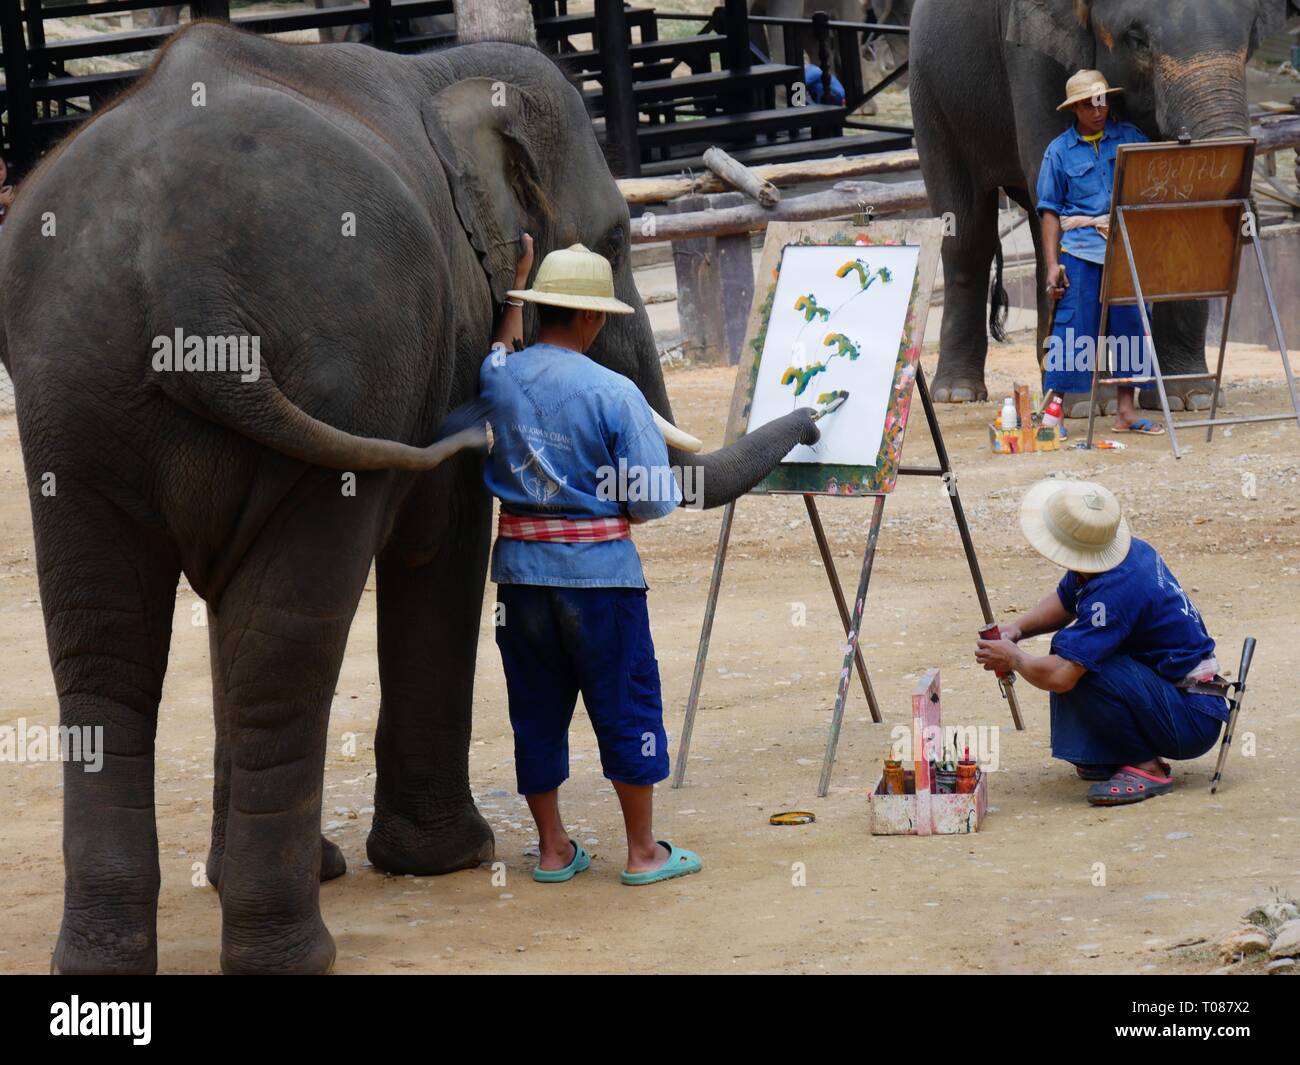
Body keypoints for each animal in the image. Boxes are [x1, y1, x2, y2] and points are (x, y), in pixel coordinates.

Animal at [0, 24, 818, 974]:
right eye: (615, 239)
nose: (812, 416)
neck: (443, 70)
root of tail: (179, 276)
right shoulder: (452, 340)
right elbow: (445, 543)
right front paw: (447, 859)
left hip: (75, 396)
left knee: (107, 649)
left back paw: (103, 957)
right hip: (337, 369)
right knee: (286, 643)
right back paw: (292, 950)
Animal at [910, 0, 1297, 410]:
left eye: (1248, 38)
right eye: (1137, 40)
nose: (1248, 218)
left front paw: (1192, 399)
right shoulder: (1031, 54)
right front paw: (1089, 405)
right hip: (930, 94)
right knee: (968, 234)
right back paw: (959, 394)